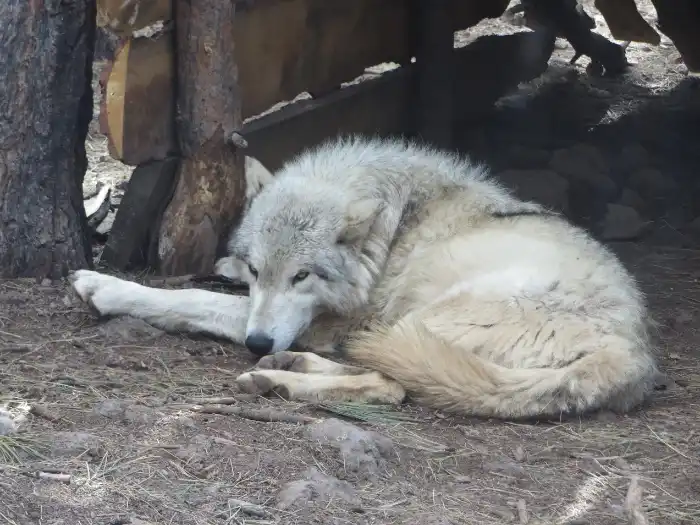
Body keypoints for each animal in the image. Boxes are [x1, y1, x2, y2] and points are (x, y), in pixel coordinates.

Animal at [70, 136, 659, 419]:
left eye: (302, 276)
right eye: (259, 269)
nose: (257, 343)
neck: (391, 235)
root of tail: (630, 353)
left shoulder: (320, 321)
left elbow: (192, 301)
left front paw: (104, 288)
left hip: (420, 320)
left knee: (391, 386)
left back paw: (277, 378)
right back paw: (283, 368)